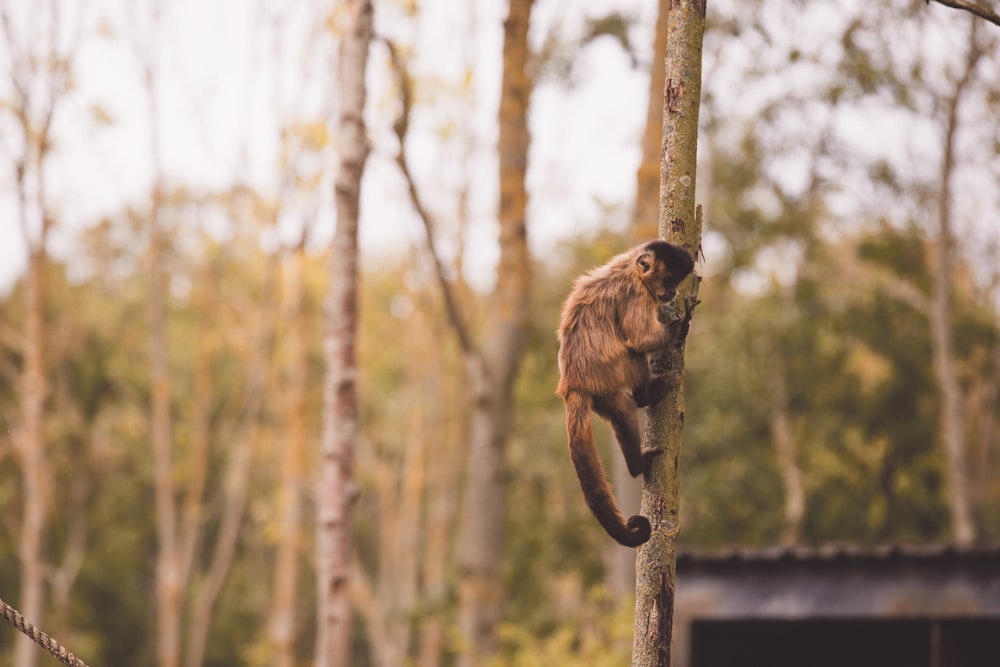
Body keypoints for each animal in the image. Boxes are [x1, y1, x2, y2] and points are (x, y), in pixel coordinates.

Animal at [556, 240, 696, 548]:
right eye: (669, 280)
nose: (672, 293)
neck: (631, 269)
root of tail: (573, 383)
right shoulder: (636, 294)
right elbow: (641, 340)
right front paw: (682, 325)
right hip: (613, 368)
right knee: (633, 353)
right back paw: (647, 394)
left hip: (603, 388)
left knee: (622, 410)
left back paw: (636, 465)